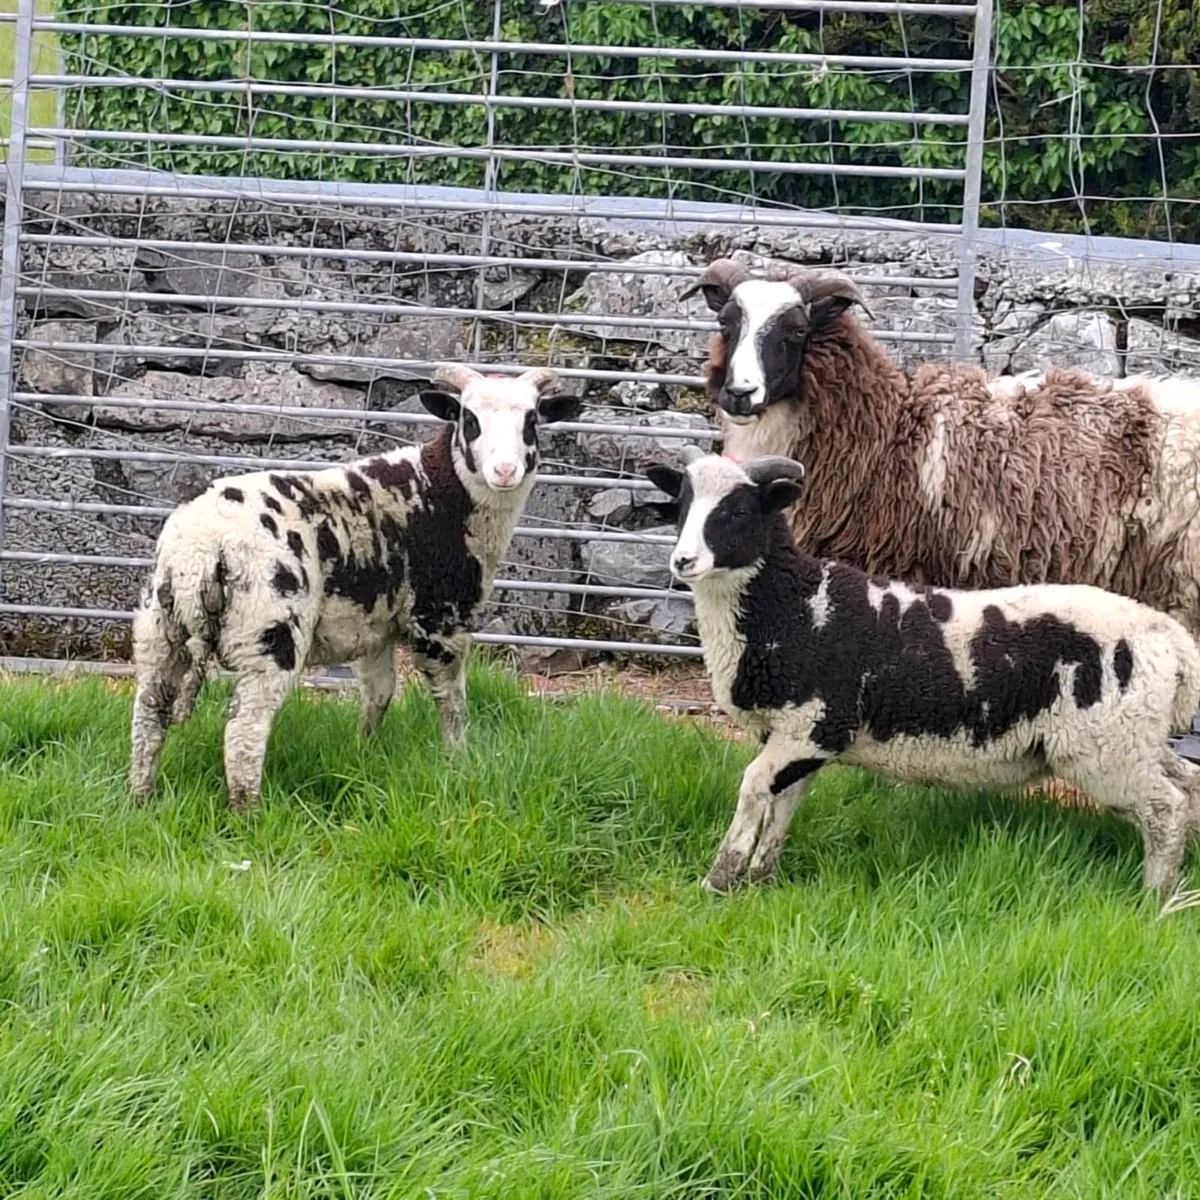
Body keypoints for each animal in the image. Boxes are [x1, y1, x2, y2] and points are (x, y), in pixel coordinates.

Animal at [129, 364, 582, 811]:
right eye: (469, 420)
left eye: (531, 419)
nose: (505, 471)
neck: (444, 491)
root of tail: (199, 550)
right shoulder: (440, 619)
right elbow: (451, 702)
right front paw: (457, 762)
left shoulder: (372, 626)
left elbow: (378, 694)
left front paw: (365, 753)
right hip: (267, 630)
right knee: (244, 729)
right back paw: (248, 812)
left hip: (159, 628)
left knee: (148, 714)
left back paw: (142, 799)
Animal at [644, 451, 1200, 901]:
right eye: (681, 506)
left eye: (736, 512)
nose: (682, 561)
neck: (794, 606)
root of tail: (1170, 638)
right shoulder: (796, 736)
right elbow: (783, 801)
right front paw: (760, 878)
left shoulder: (816, 724)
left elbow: (754, 786)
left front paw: (718, 880)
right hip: (1134, 738)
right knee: (1187, 786)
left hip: (1106, 749)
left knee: (1166, 809)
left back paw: (1154, 899)